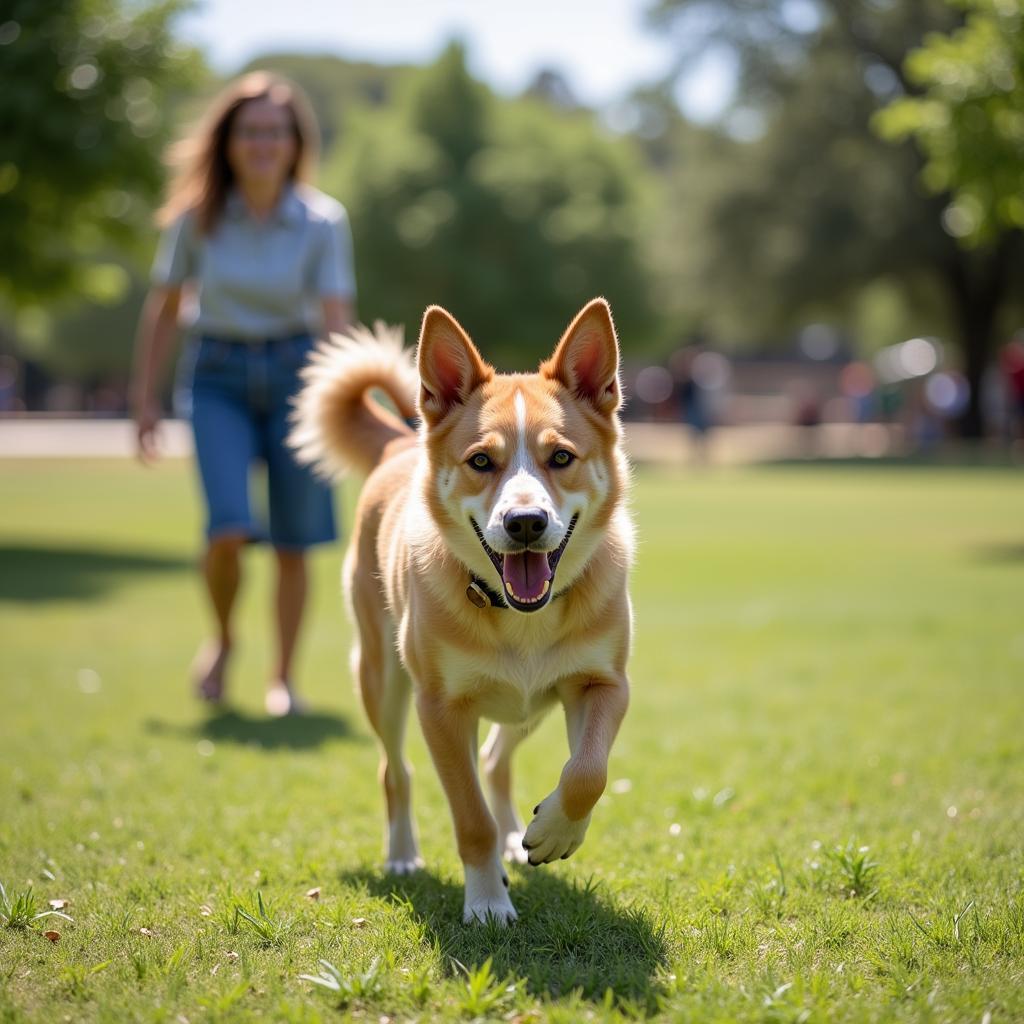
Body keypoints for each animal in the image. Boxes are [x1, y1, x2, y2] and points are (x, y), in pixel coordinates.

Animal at [290, 299, 630, 929]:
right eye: (480, 460)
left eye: (561, 457)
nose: (526, 523)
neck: (520, 614)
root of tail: (399, 445)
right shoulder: (442, 709)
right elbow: (469, 816)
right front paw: (488, 903)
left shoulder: (603, 683)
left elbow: (587, 772)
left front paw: (554, 833)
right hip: (383, 678)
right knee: (396, 771)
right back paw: (405, 856)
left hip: (528, 706)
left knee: (495, 760)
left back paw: (518, 836)